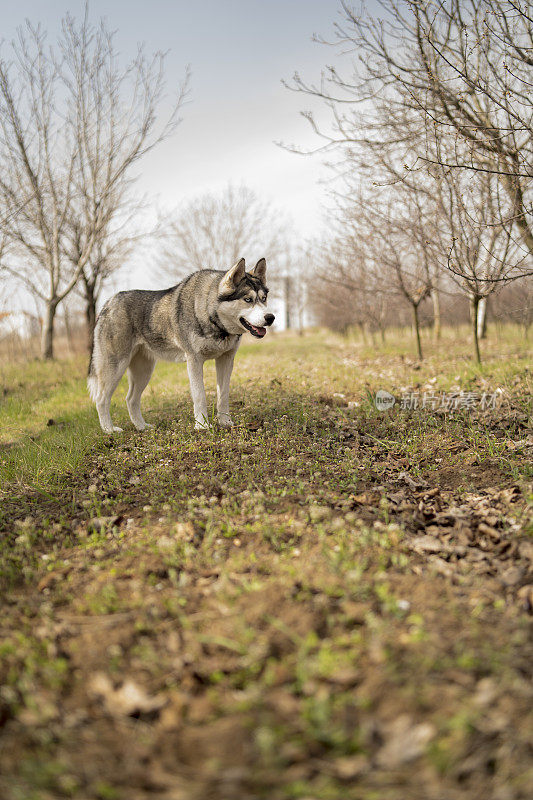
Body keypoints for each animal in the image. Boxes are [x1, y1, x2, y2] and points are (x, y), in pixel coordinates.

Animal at [88, 258, 274, 434]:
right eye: (248, 299)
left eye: (264, 299)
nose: (270, 317)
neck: (211, 317)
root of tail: (108, 303)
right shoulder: (194, 361)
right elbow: (200, 396)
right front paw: (202, 426)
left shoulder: (226, 360)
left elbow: (223, 395)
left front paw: (225, 422)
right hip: (115, 368)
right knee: (101, 399)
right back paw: (109, 430)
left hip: (144, 371)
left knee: (130, 399)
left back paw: (141, 426)